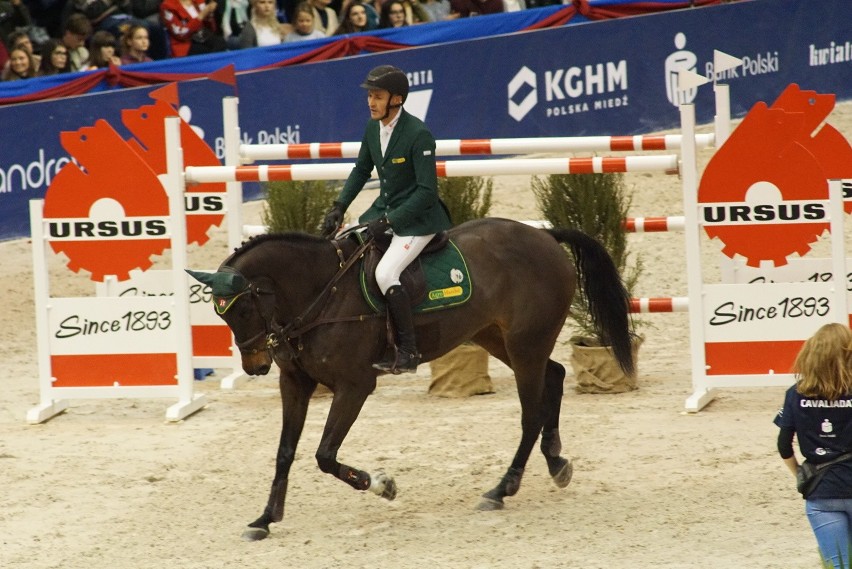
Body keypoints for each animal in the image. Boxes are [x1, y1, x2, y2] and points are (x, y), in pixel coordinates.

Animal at [190, 219, 636, 540]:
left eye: (242, 309)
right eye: (220, 314)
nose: (255, 366)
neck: (322, 292)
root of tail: (544, 235)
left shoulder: (355, 386)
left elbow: (324, 455)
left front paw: (382, 484)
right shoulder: (295, 385)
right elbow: (285, 452)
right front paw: (265, 519)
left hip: (525, 343)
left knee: (531, 414)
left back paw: (501, 490)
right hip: (498, 337)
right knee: (554, 378)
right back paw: (556, 461)